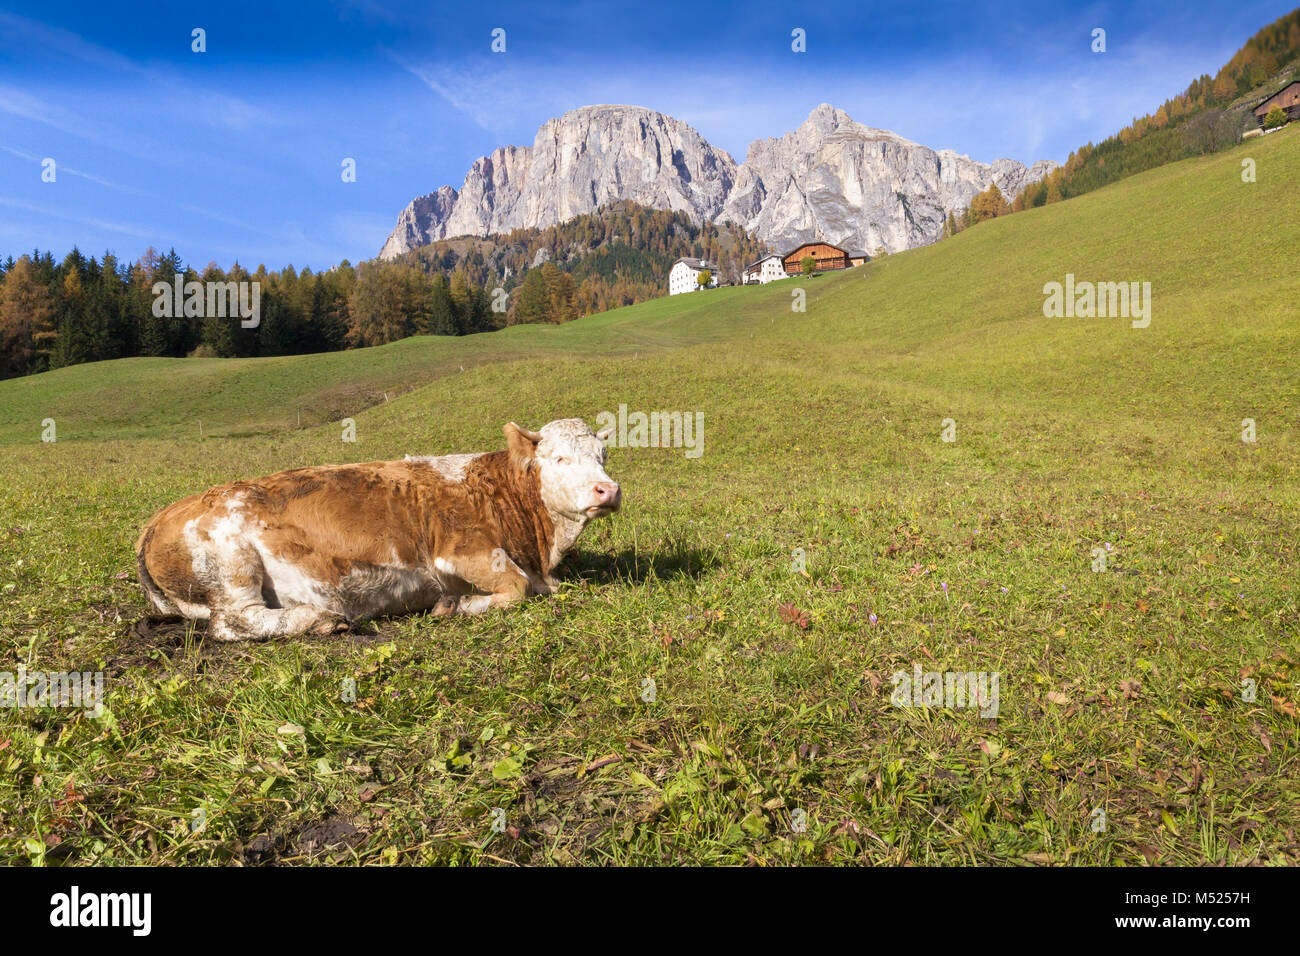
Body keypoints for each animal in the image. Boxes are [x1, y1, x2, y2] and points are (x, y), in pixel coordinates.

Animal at [134, 421, 621, 639]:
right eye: (558, 458)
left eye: (603, 455)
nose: (608, 490)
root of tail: (157, 518)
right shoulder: (461, 550)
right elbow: (516, 588)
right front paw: (456, 606)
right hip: (232, 560)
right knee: (234, 620)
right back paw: (320, 619)